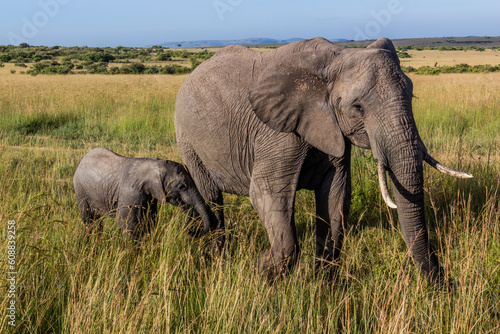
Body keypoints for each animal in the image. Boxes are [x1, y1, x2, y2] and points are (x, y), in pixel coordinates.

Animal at [73, 147, 214, 239]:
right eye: (182, 187)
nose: (190, 231)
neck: (155, 164)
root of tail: (82, 159)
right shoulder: (130, 192)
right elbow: (126, 223)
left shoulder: (150, 195)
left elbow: (150, 220)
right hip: (80, 190)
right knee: (89, 219)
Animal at [174, 37, 470, 284]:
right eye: (358, 107)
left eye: (412, 95)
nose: (448, 283)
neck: (335, 58)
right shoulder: (278, 132)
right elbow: (265, 193)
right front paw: (264, 270)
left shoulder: (333, 130)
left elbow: (336, 197)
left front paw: (323, 287)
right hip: (188, 137)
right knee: (211, 197)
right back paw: (216, 260)